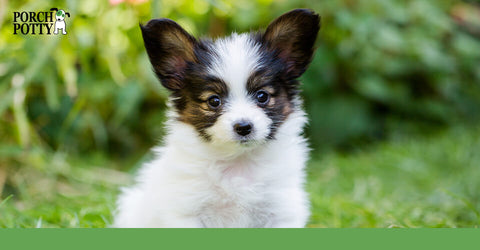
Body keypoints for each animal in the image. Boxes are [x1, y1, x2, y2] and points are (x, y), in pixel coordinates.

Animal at [114, 8, 320, 228]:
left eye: (262, 96)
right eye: (214, 100)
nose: (243, 127)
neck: (238, 162)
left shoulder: (281, 211)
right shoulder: (186, 211)